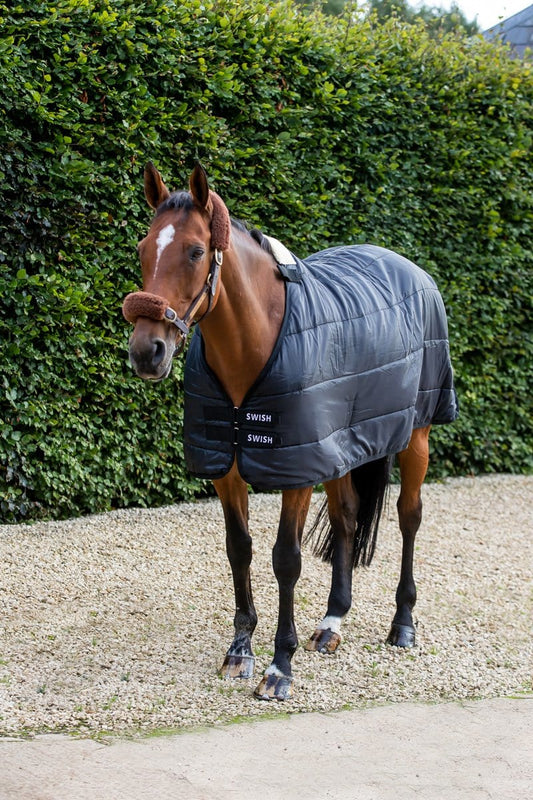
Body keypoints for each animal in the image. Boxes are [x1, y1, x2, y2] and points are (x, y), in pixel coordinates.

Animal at [123, 163, 458, 701]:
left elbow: (286, 559)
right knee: (346, 518)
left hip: (417, 435)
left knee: (409, 517)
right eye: (143, 248)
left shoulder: (296, 471)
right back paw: (332, 623)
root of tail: (410, 267)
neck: (255, 345)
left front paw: (280, 666)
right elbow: (239, 548)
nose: (146, 351)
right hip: (341, 448)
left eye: (195, 251)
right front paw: (240, 650)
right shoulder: (230, 468)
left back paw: (403, 623)